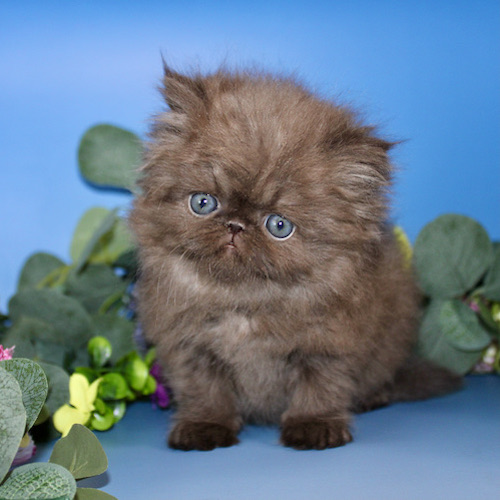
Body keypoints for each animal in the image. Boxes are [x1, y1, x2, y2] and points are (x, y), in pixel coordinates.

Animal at [130, 64, 462, 451]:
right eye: (203, 203)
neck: (244, 306)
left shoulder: (330, 346)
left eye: (279, 225)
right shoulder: (188, 347)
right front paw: (204, 428)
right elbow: (204, 392)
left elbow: (320, 388)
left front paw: (314, 427)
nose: (235, 226)